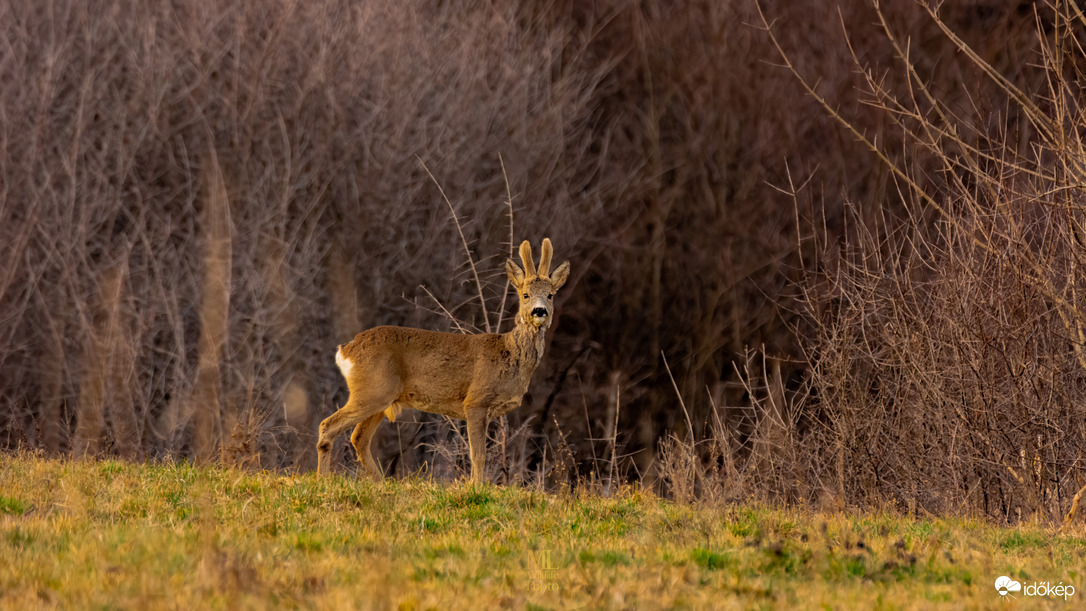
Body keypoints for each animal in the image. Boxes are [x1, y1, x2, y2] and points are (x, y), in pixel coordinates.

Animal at [317, 238, 573, 484]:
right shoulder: (476, 401)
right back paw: (324, 481)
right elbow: (477, 454)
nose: (539, 311)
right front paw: (477, 488)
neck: (509, 353)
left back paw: (382, 484)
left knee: (358, 438)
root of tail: (346, 349)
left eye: (550, 295)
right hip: (372, 391)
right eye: (525, 294)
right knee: (328, 426)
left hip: (381, 398)